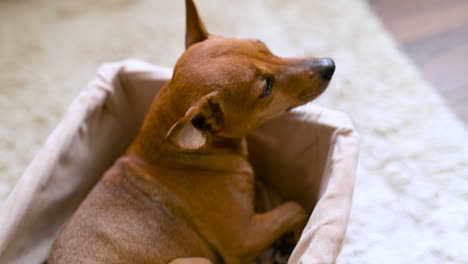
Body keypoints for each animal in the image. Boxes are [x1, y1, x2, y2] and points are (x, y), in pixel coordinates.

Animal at [47, 0, 334, 264]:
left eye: (263, 46)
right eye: (266, 88)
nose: (329, 64)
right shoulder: (244, 238)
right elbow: (295, 206)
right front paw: (292, 237)